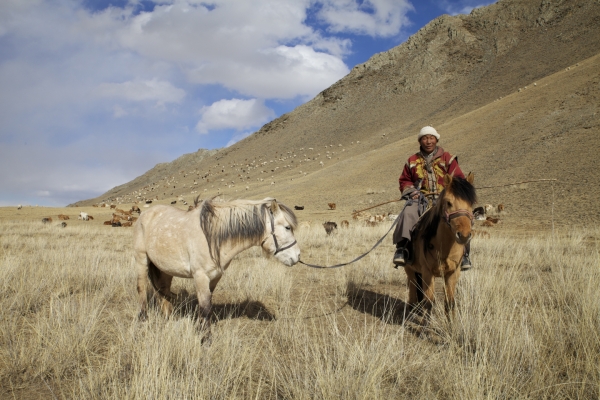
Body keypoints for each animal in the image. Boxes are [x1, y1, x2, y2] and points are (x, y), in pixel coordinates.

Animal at [132, 197, 298, 338]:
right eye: (287, 227)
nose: (297, 257)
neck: (213, 237)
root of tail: (145, 214)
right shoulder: (200, 276)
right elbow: (205, 307)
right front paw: (206, 340)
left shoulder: (215, 277)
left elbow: (206, 304)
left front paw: (201, 329)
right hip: (142, 260)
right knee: (142, 289)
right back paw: (143, 320)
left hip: (164, 269)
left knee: (163, 292)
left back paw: (168, 318)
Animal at [406, 172, 476, 318]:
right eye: (448, 203)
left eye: (471, 203)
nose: (464, 235)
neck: (444, 248)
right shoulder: (428, 273)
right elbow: (428, 304)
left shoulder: (452, 273)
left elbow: (450, 303)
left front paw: (452, 324)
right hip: (409, 269)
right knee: (413, 288)